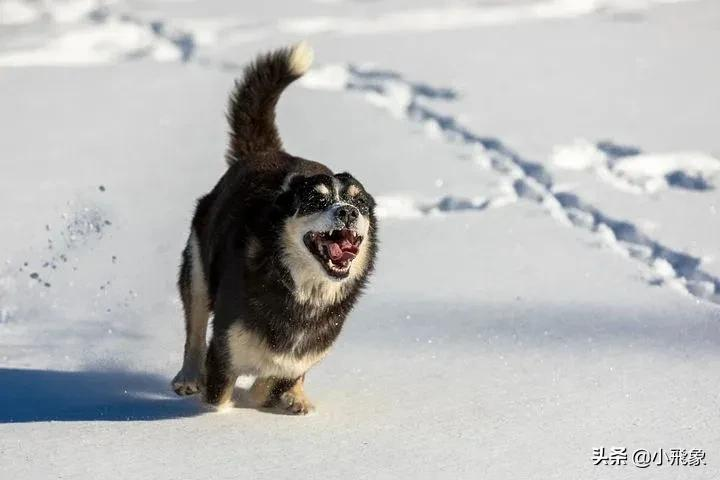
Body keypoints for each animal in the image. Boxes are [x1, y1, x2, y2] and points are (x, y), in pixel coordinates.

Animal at [172, 42, 380, 416]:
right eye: (316, 200)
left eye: (361, 204)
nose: (347, 212)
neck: (304, 293)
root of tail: (265, 153)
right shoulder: (224, 351)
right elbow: (221, 396)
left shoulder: (304, 353)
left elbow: (273, 381)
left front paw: (282, 395)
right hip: (197, 269)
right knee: (193, 331)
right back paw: (188, 376)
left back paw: (296, 397)